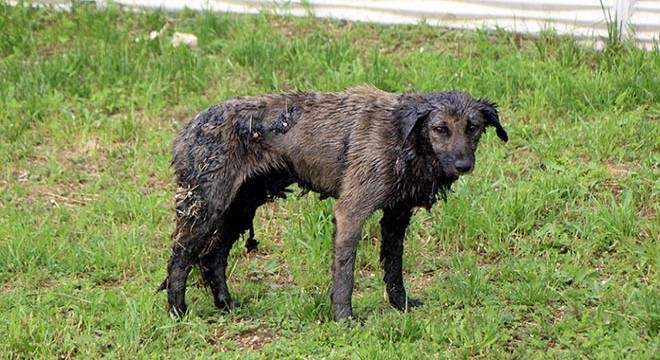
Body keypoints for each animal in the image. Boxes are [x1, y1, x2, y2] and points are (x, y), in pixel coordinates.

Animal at [157, 85, 508, 320]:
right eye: (440, 129)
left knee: (213, 257)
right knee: (180, 258)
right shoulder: (351, 211)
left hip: (240, 207)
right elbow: (345, 274)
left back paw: (226, 304)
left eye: (473, 128)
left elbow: (394, 268)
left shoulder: (396, 216)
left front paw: (401, 305)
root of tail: (187, 128)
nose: (463, 165)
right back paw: (177, 311)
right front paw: (344, 318)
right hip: (206, 206)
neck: (401, 135)